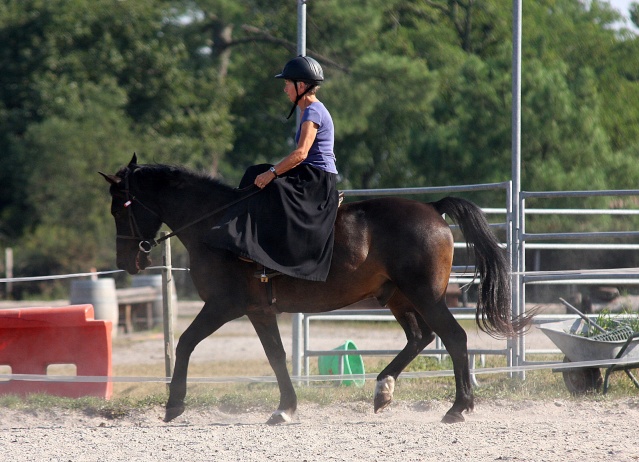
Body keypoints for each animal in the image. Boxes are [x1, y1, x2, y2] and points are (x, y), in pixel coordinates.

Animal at [102, 153, 528, 424]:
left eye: (119, 208)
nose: (127, 261)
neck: (216, 224)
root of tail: (432, 208)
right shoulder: (259, 310)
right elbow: (276, 356)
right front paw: (286, 408)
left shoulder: (224, 306)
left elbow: (186, 343)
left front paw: (174, 405)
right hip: (399, 297)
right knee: (419, 338)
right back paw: (383, 390)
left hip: (426, 296)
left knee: (454, 338)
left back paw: (458, 408)